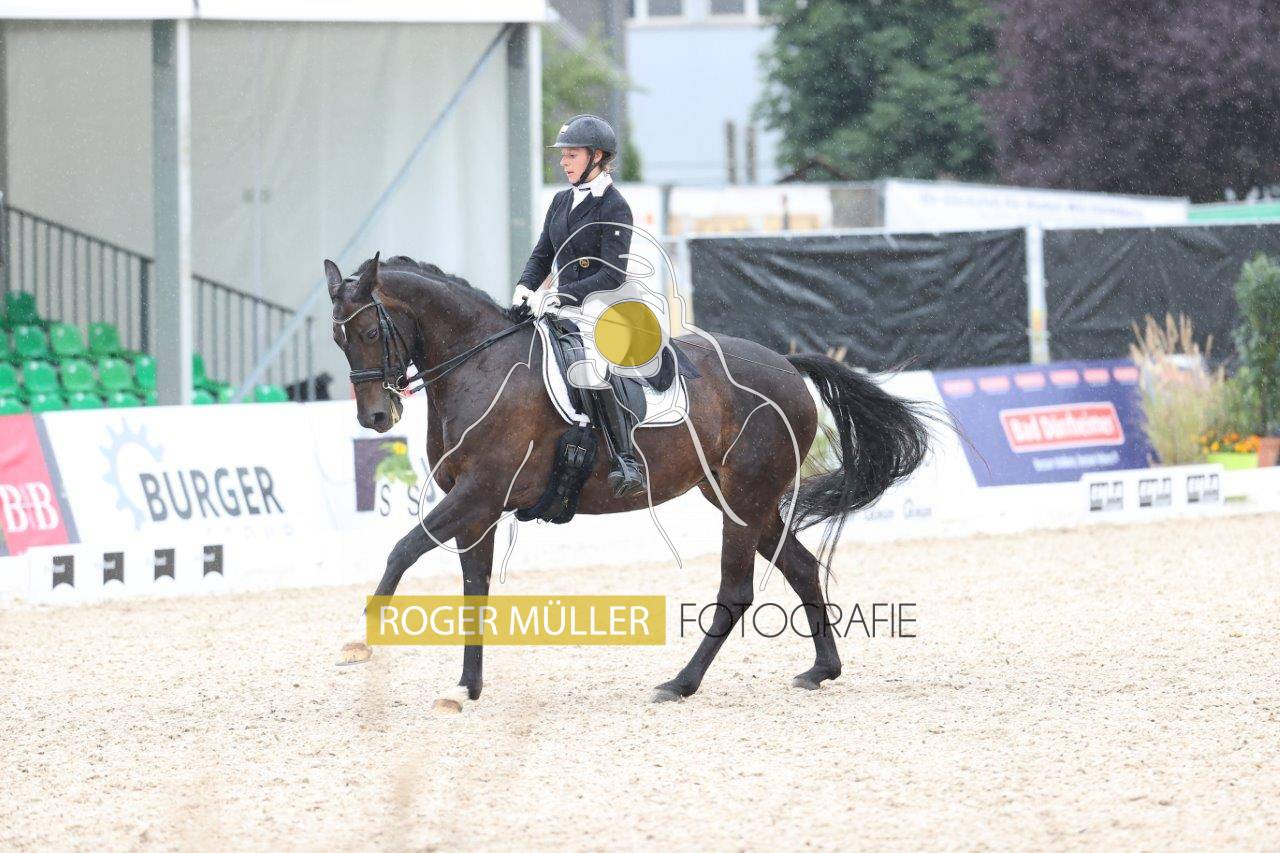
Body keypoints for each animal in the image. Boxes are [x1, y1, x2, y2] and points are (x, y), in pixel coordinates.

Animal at [327, 253, 930, 705]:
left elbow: (403, 550)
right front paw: (464, 688)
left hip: (745, 497)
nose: (376, 418)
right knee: (802, 568)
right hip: (737, 497)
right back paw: (821, 670)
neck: (480, 366)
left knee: (736, 590)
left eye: (368, 330)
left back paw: (680, 683)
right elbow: (474, 588)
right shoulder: (477, 505)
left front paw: (362, 641)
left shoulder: (481, 493)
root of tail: (786, 365)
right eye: (339, 341)